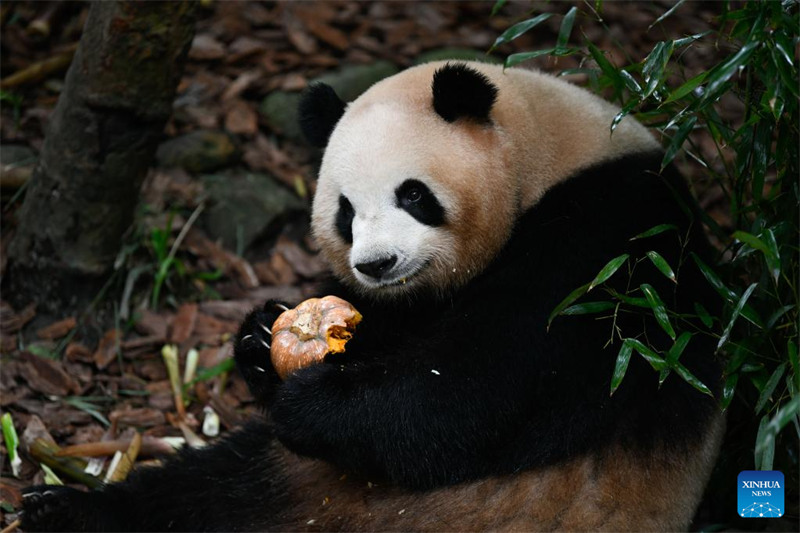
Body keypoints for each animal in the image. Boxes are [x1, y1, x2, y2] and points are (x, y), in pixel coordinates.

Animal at [21, 61, 720, 528]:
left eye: (413, 194)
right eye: (345, 211)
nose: (377, 264)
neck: (546, 154)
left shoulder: (612, 244)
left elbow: (482, 380)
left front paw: (316, 404)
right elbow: (386, 332)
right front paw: (261, 339)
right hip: (287, 479)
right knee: (198, 493)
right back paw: (59, 511)